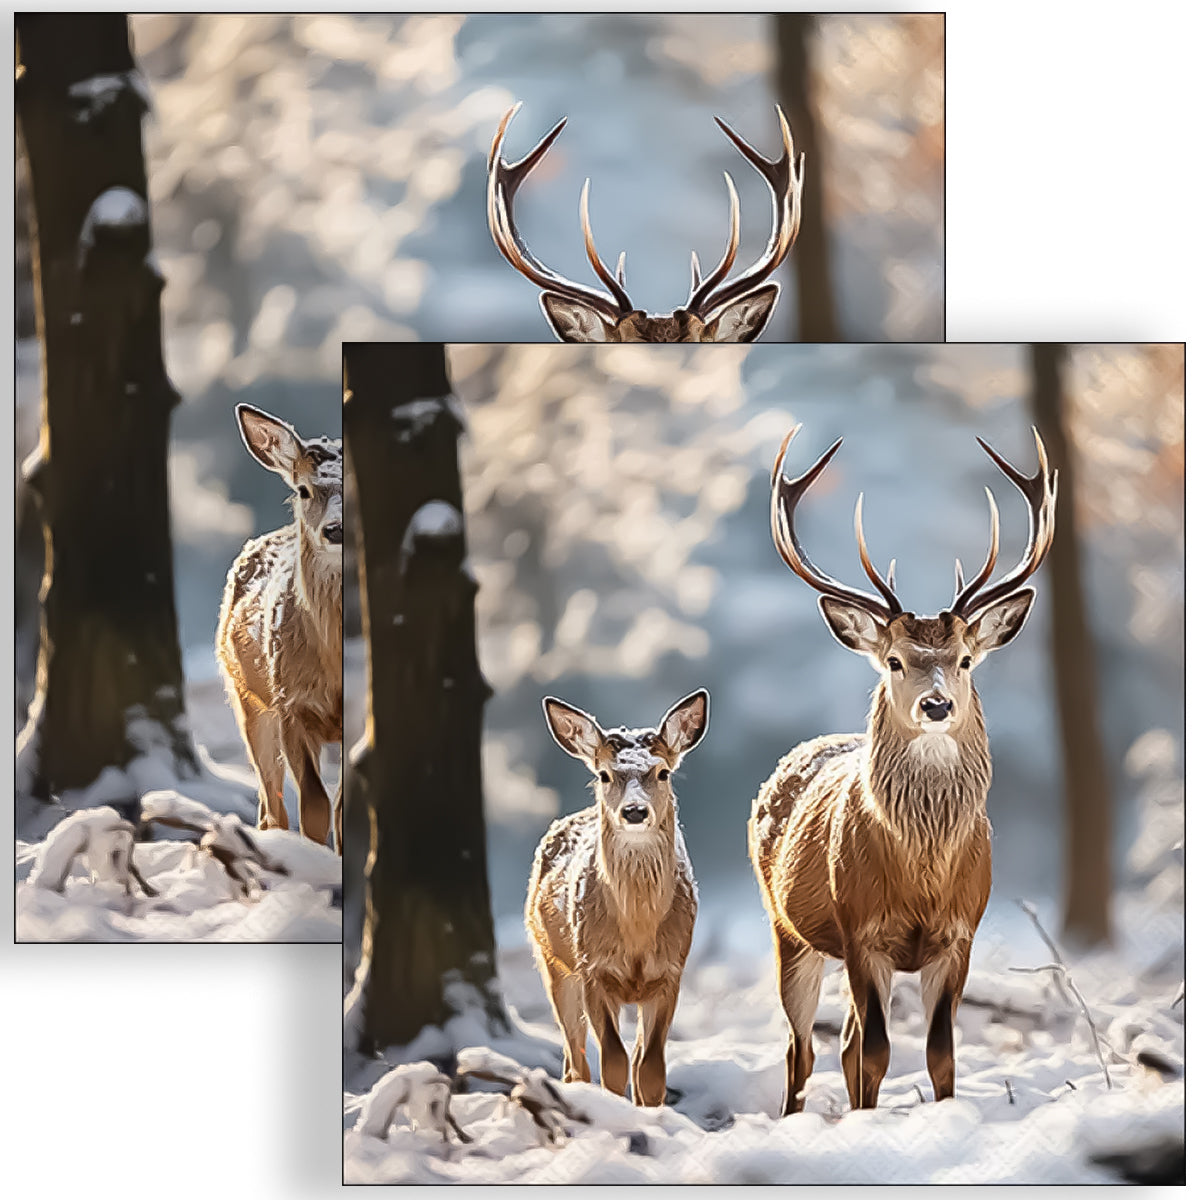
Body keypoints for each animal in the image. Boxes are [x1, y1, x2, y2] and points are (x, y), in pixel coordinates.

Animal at [217, 404, 344, 853]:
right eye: (303, 490)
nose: (336, 530)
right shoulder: (291, 706)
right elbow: (315, 807)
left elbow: (341, 812)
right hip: (248, 700)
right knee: (271, 804)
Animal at [528, 690, 709, 1106]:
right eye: (604, 774)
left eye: (663, 772)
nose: (635, 811)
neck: (637, 935)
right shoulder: (593, 969)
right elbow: (612, 1062)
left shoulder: (670, 972)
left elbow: (650, 1068)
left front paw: (651, 1112)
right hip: (552, 962)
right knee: (575, 1060)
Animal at [750, 424, 1057, 1115]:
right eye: (894, 660)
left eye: (965, 658)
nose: (936, 704)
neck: (922, 873)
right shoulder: (860, 929)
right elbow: (877, 1053)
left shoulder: (961, 933)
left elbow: (940, 1053)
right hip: (789, 929)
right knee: (802, 1049)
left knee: (837, 1044)